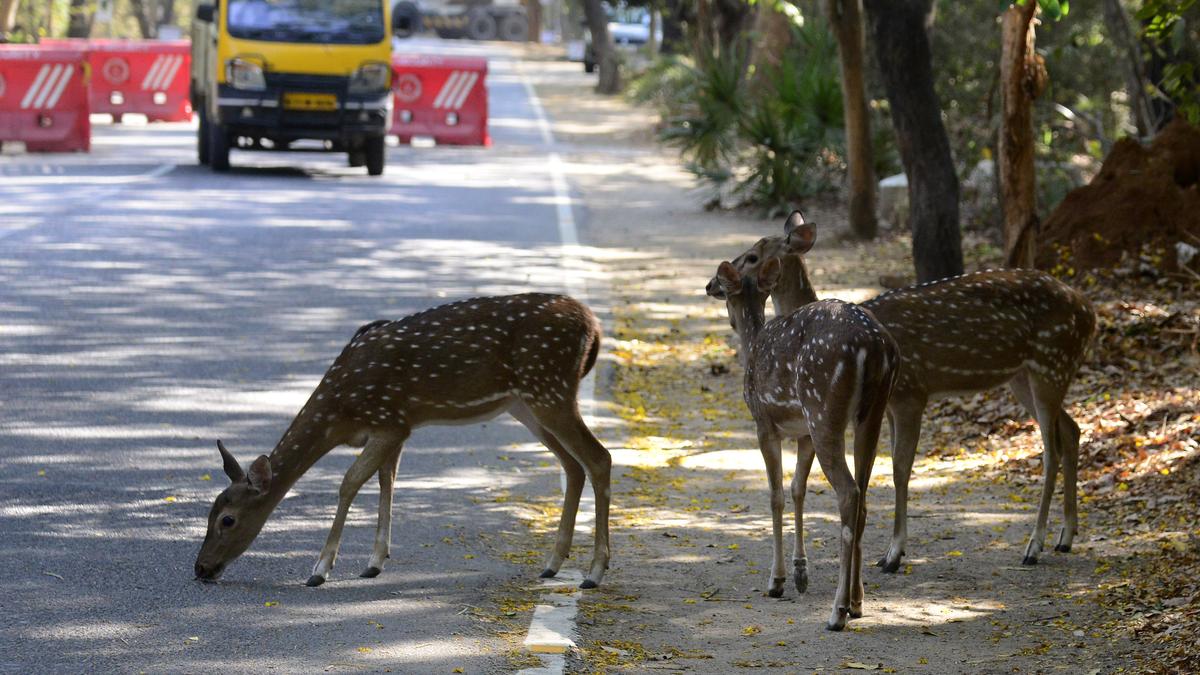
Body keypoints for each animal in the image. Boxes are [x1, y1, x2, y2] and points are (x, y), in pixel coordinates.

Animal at [195, 291, 614, 586]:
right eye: (209, 512)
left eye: (228, 520)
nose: (201, 568)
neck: (340, 411)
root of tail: (594, 327)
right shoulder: (398, 425)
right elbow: (387, 480)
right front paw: (374, 563)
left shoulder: (388, 421)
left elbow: (350, 482)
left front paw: (321, 569)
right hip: (526, 403)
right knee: (573, 465)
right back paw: (552, 564)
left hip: (549, 388)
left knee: (599, 458)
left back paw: (594, 572)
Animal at [705, 210, 1099, 566]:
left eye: (753, 255)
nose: (712, 284)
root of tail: (1091, 311)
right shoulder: (892, 403)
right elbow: (890, 469)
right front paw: (890, 551)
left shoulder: (911, 392)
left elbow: (899, 469)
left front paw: (893, 554)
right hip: (1024, 376)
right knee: (1072, 429)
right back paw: (1066, 537)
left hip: (1051, 361)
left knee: (1051, 448)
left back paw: (1035, 546)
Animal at [705, 254, 897, 629]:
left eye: (724, 283)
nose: (707, 285)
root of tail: (874, 347)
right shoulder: (803, 432)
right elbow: (797, 489)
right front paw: (800, 574)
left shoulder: (764, 423)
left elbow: (776, 495)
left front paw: (776, 580)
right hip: (871, 412)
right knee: (863, 495)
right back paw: (857, 601)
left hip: (823, 408)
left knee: (849, 493)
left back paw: (838, 612)